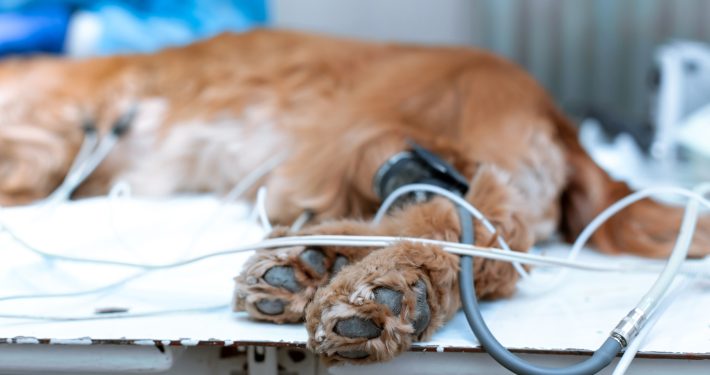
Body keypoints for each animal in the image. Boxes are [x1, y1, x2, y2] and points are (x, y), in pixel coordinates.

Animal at [0, 28, 708, 364]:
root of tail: (556, 115)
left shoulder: (42, 130)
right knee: (494, 242)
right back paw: (333, 272)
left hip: (372, 135)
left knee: (478, 222)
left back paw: (376, 281)